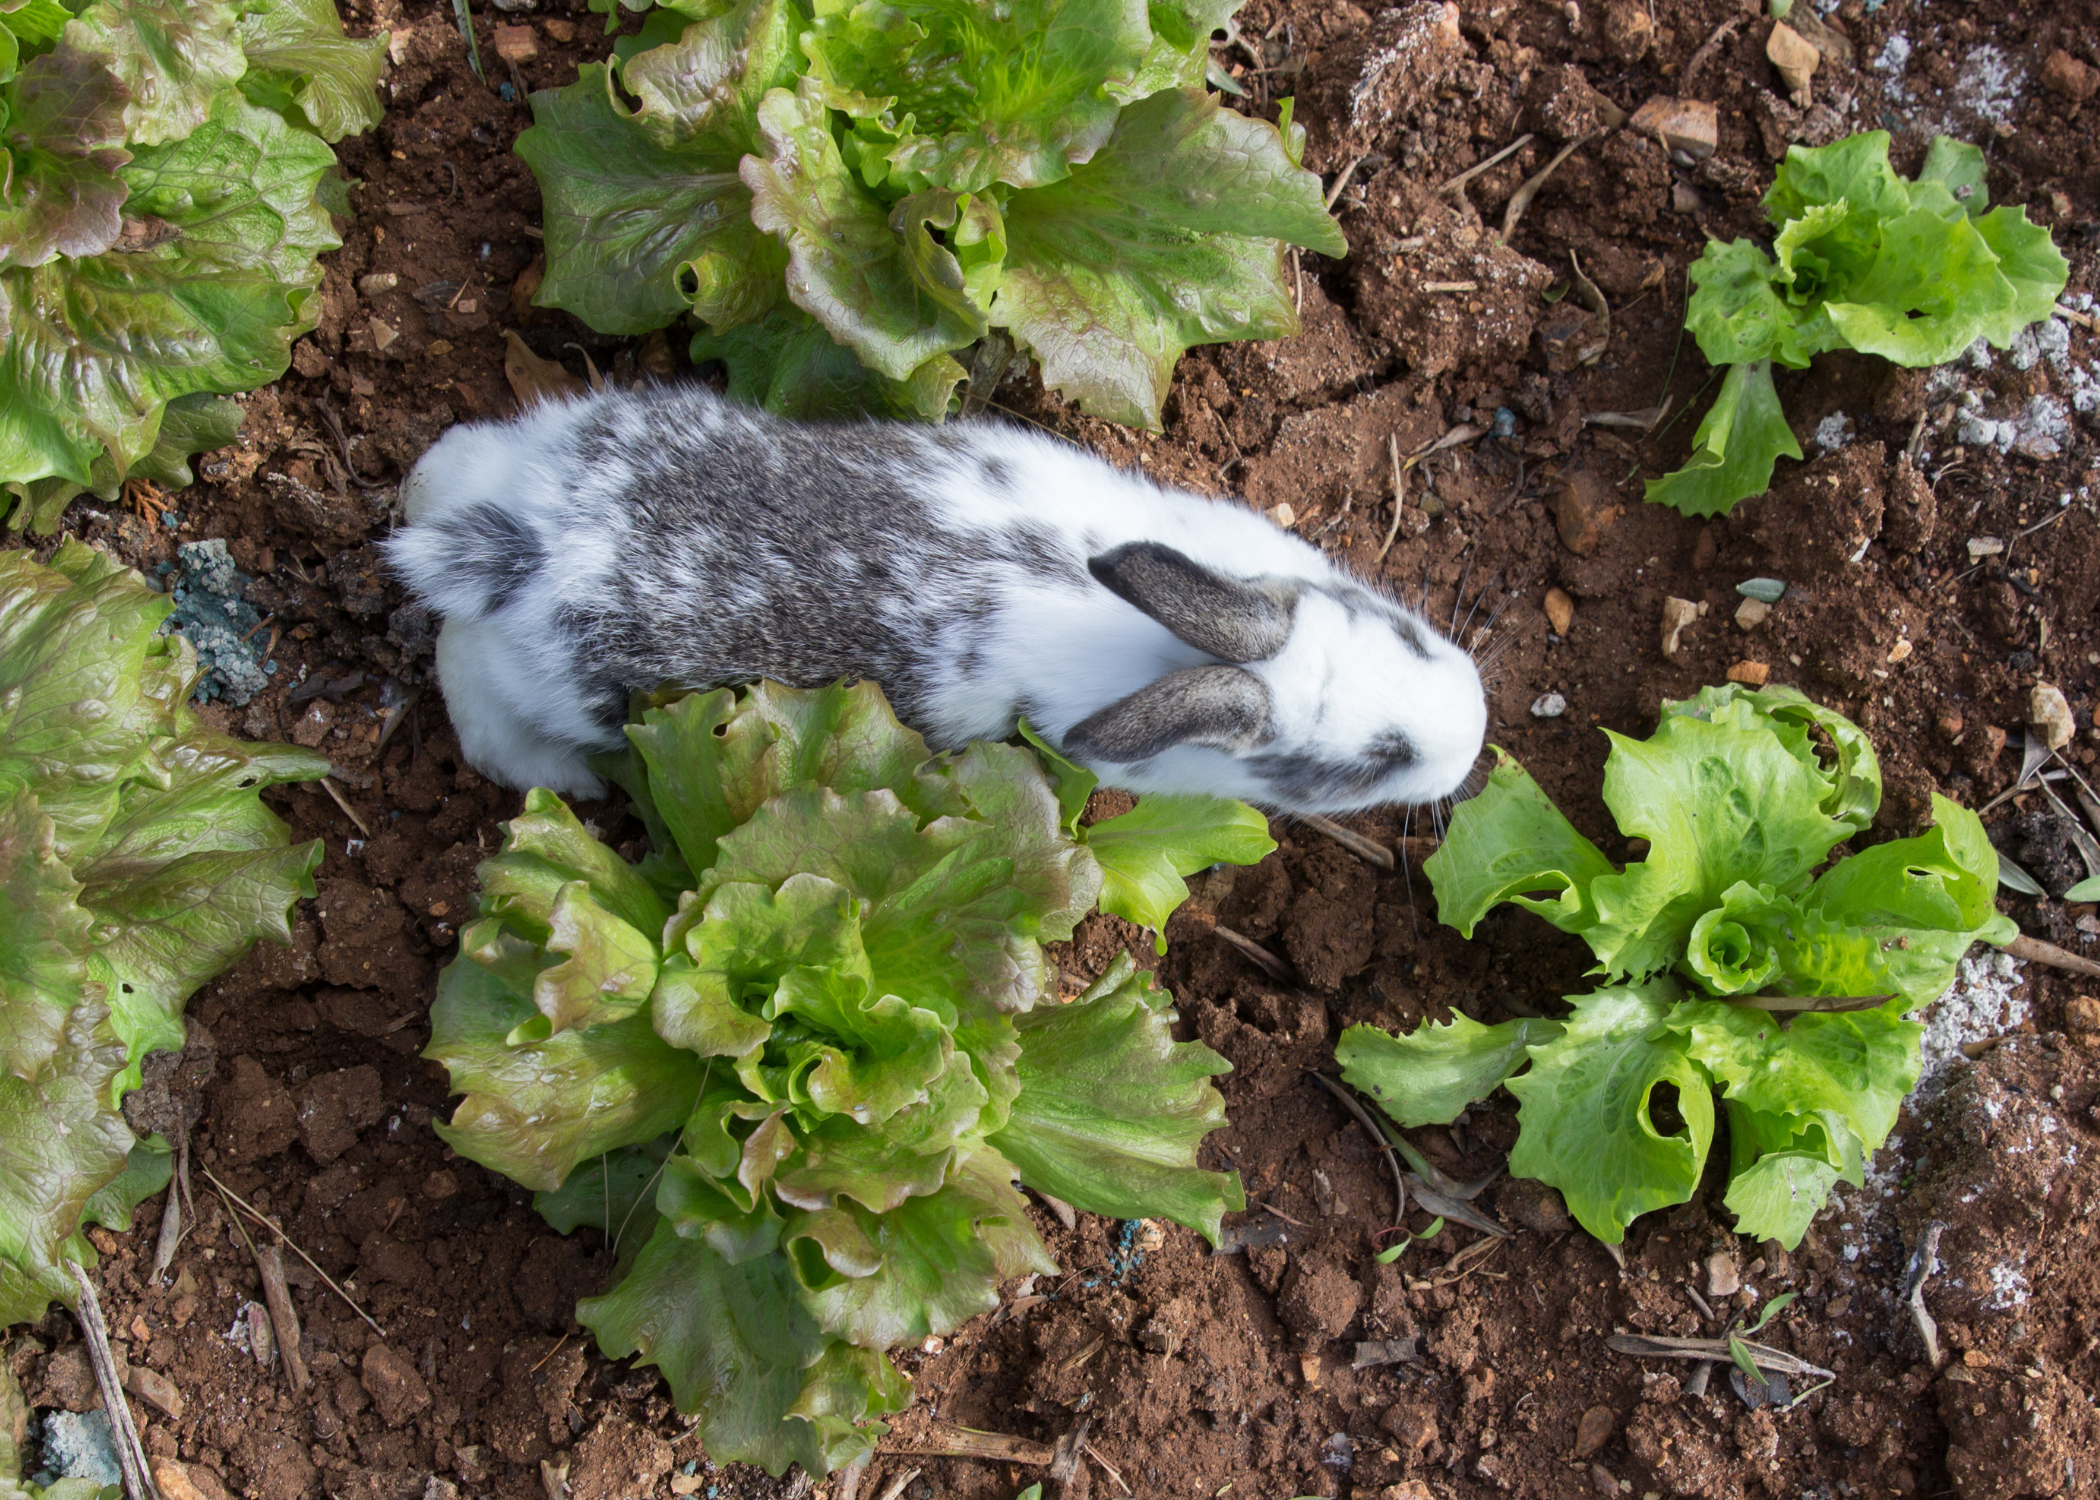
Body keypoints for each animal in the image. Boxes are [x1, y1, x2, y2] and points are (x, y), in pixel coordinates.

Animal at [382, 380, 1495, 810]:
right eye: (1376, 761)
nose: (1477, 730)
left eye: (1406, 637)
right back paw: (565, 782)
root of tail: (523, 552)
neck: (1177, 656)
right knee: (472, 699)